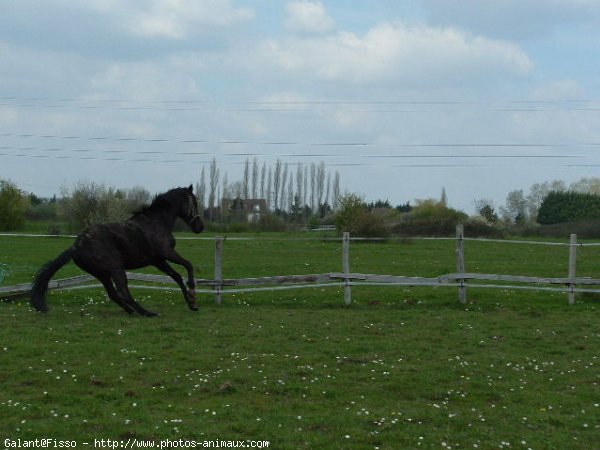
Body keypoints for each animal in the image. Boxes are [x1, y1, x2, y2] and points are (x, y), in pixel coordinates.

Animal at [30, 184, 204, 316]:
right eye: (194, 203)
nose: (200, 227)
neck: (156, 223)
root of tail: (76, 247)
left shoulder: (158, 261)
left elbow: (177, 277)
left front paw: (192, 303)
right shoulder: (166, 253)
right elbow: (188, 265)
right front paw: (192, 290)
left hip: (101, 273)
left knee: (113, 294)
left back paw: (132, 311)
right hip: (116, 269)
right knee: (122, 291)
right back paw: (147, 313)